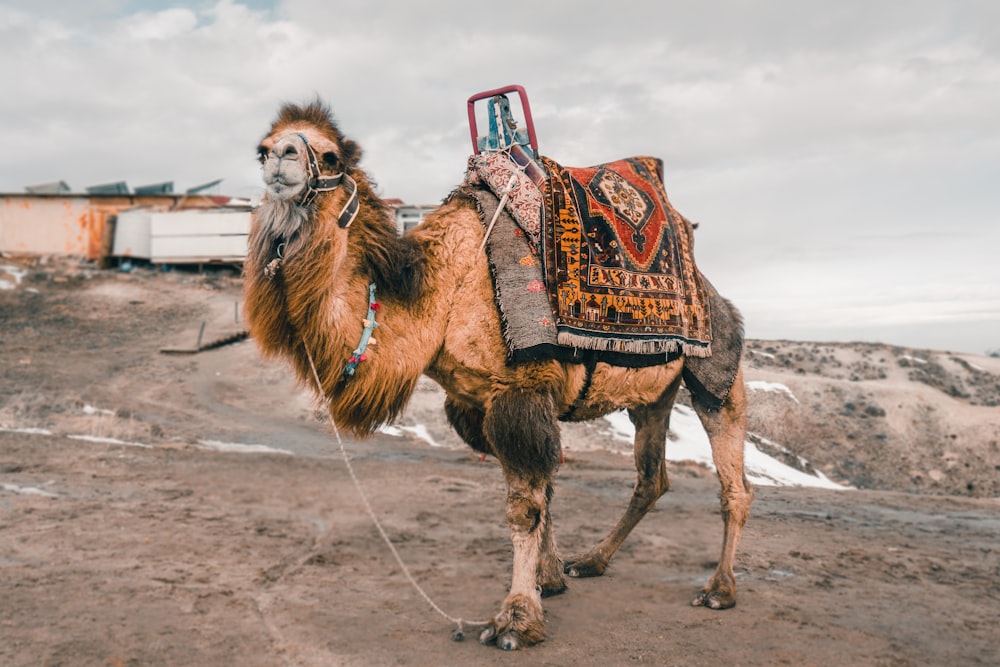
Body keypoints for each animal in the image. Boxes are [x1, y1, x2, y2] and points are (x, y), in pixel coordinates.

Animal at [246, 100, 752, 652]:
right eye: (262, 149)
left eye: (331, 155)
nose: (281, 156)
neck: (443, 289)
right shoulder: (477, 404)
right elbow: (544, 492)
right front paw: (549, 579)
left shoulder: (519, 391)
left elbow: (524, 508)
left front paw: (516, 620)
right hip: (652, 396)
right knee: (651, 477)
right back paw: (591, 561)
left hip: (717, 370)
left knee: (732, 477)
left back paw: (720, 589)